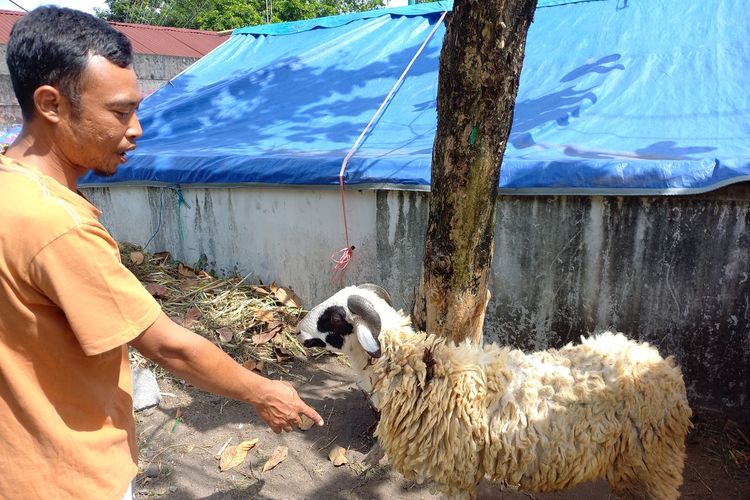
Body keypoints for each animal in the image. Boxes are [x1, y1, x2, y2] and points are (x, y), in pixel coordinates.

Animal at [296, 286, 696, 500]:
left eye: (334, 318)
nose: (298, 330)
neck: (417, 366)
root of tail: (661, 362)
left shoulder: (456, 469)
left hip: (655, 462)